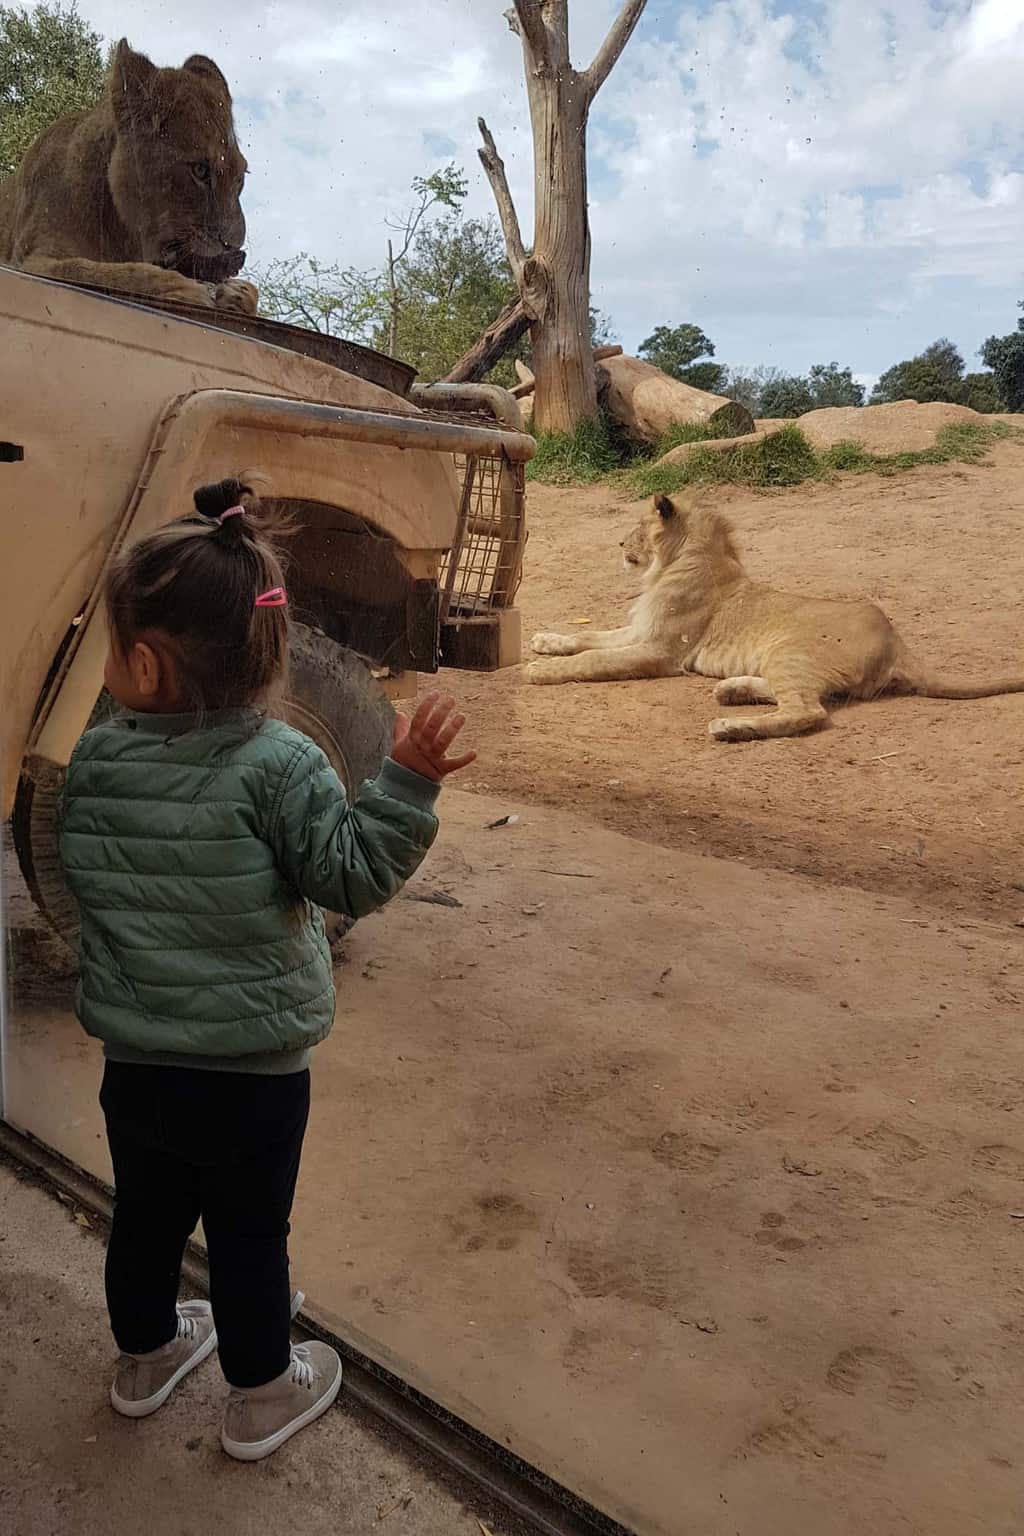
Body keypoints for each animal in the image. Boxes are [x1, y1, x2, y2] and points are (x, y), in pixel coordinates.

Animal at [0, 40, 256, 314]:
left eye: (240, 178)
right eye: (200, 170)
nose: (234, 246)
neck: (121, 230)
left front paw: (238, 293)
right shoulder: (31, 261)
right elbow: (104, 272)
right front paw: (188, 289)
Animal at [528, 485, 1024, 737]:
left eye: (637, 525)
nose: (618, 544)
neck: (676, 561)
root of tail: (898, 640)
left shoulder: (661, 650)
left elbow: (594, 659)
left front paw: (540, 671)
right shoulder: (640, 631)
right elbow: (588, 638)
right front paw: (545, 641)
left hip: (791, 651)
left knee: (809, 712)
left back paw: (730, 725)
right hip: (782, 659)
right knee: (801, 699)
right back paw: (733, 691)